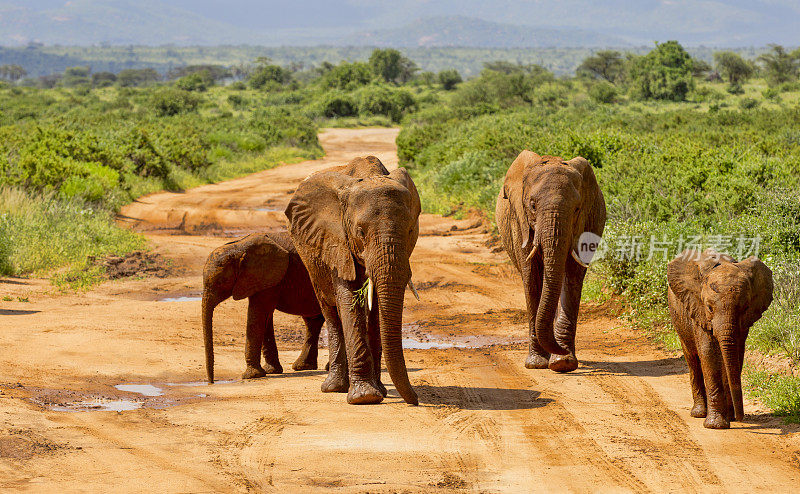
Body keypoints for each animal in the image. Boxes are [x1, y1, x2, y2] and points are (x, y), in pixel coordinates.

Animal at [205, 231, 326, 382]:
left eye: (221, 281)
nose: (211, 382)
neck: (239, 246)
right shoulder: (262, 280)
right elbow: (265, 317)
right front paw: (271, 371)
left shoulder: (270, 276)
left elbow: (258, 315)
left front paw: (251, 376)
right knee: (313, 321)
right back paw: (303, 367)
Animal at [286, 155, 422, 406]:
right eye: (360, 232)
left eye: (410, 231)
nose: (415, 400)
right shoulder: (336, 239)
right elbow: (348, 299)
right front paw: (365, 397)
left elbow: (377, 308)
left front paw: (378, 392)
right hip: (312, 264)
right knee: (331, 312)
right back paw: (334, 387)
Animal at [494, 152, 608, 372]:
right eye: (532, 205)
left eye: (577, 209)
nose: (561, 350)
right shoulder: (519, 222)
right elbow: (532, 277)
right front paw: (536, 364)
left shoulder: (584, 224)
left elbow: (572, 276)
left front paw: (563, 362)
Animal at [664, 247, 772, 428]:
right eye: (709, 307)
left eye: (745, 307)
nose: (740, 417)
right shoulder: (698, 310)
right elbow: (708, 353)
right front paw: (716, 425)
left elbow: (735, 354)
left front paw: (728, 417)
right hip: (678, 316)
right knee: (692, 359)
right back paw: (699, 413)